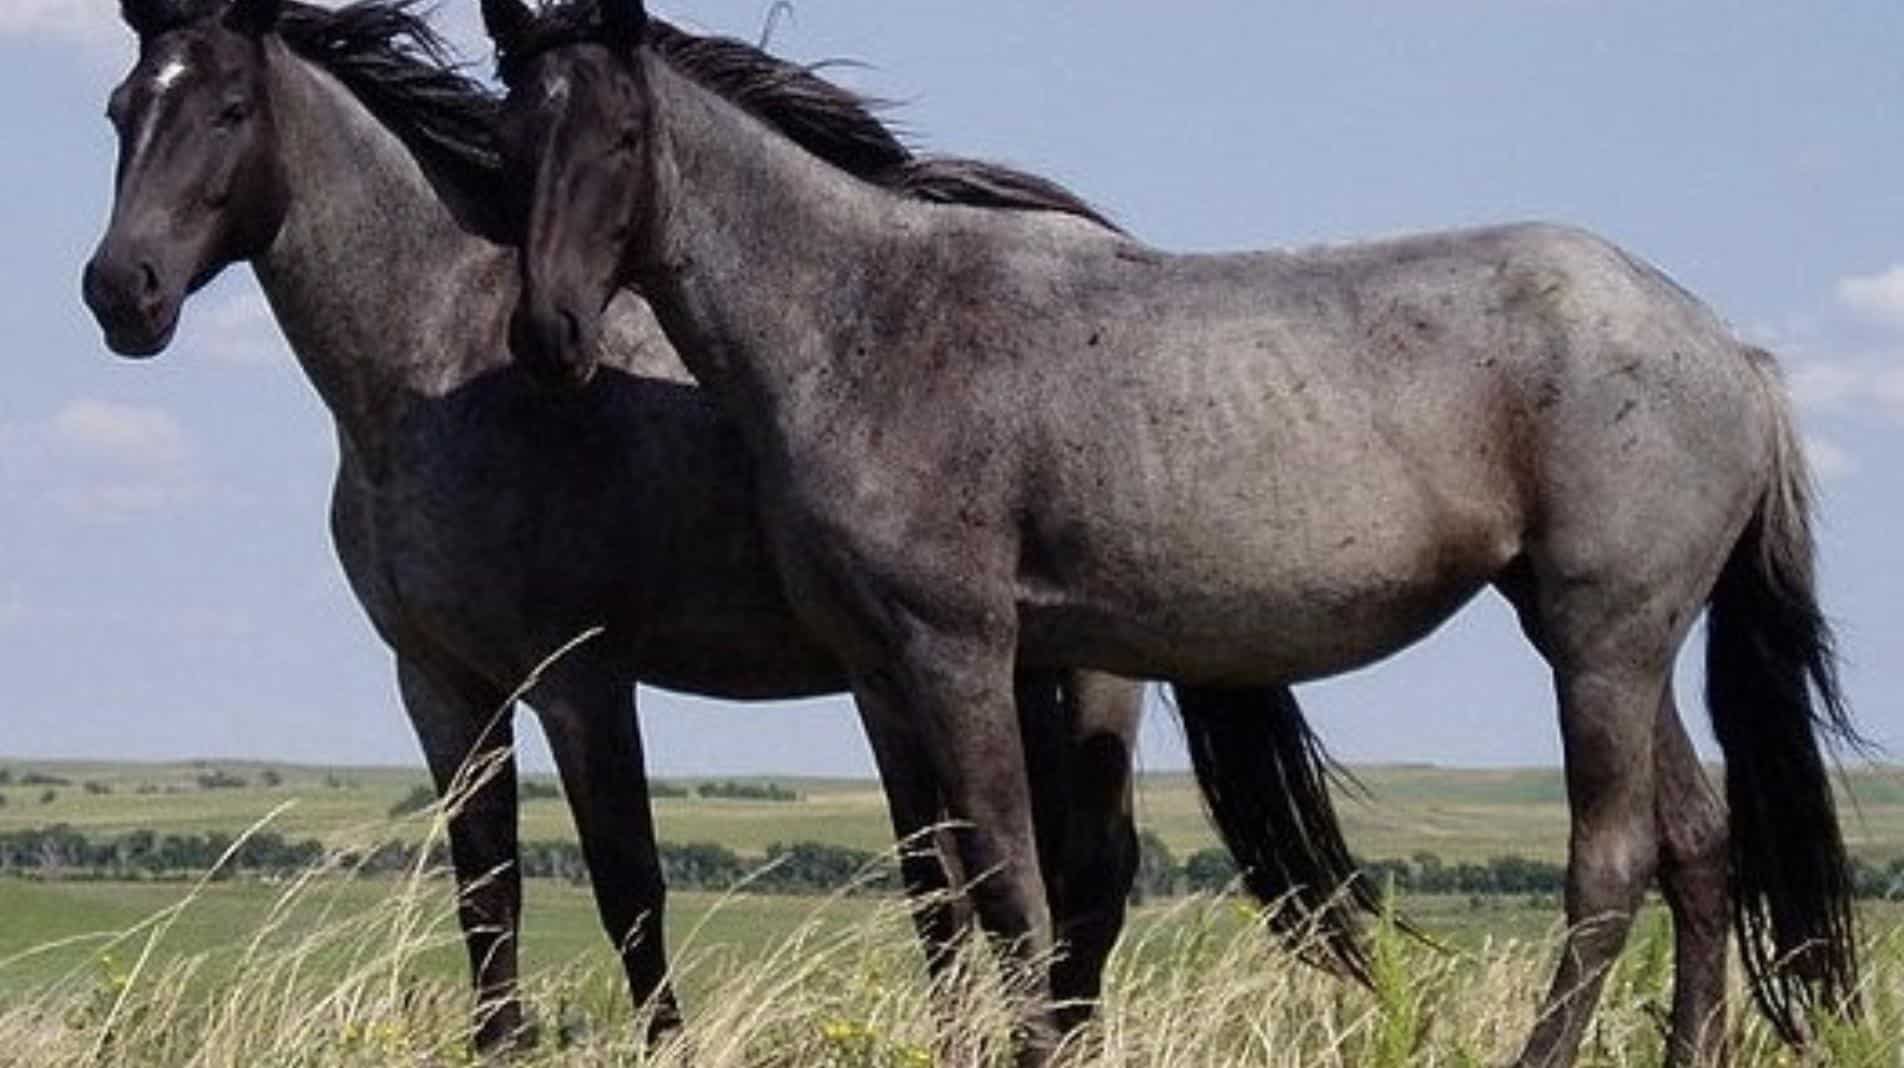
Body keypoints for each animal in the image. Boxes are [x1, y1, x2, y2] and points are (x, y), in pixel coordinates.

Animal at [79, 0, 1156, 1050]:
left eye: (229, 110)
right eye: (120, 110)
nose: (120, 289)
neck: (437, 372)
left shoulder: (581, 679)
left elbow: (629, 885)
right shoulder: (440, 685)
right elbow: (486, 894)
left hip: (1085, 672)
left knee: (1086, 879)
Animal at [485, 1, 1867, 1064]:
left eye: (621, 136)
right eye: (510, 138)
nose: (547, 338)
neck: (868, 321)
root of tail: (1726, 350)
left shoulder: (962, 653)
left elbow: (1012, 884)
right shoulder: (878, 674)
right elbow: (939, 891)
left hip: (1599, 645)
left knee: (1609, 860)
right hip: (1612, 641)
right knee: (1696, 847)